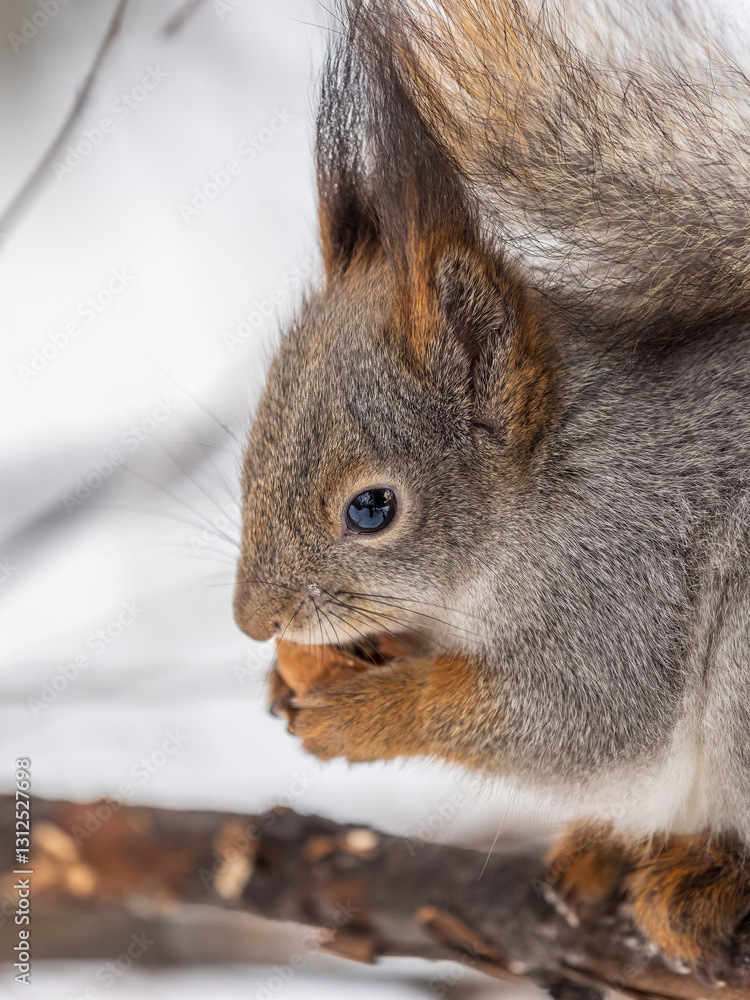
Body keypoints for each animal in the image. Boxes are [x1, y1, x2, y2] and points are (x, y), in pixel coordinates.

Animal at [233, 0, 750, 981]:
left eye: (372, 509)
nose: (252, 620)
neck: (542, 497)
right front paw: (293, 678)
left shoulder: (624, 580)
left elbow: (571, 718)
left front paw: (366, 713)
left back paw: (707, 886)